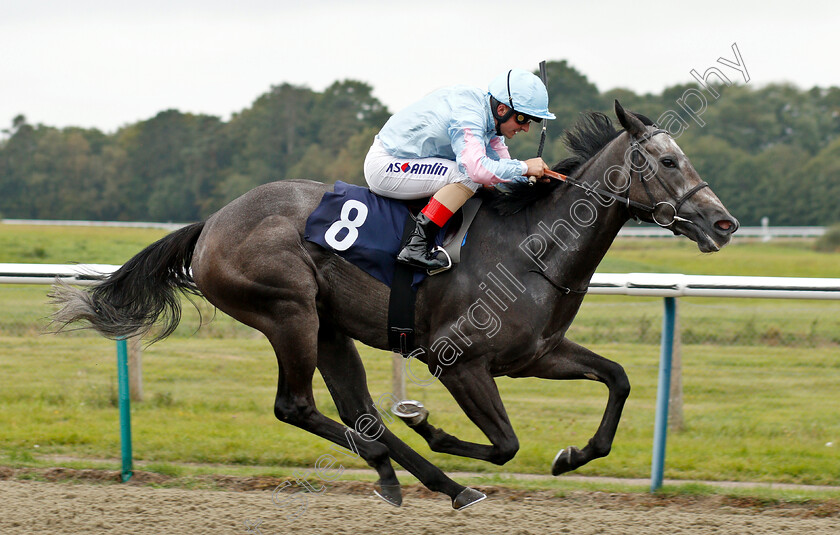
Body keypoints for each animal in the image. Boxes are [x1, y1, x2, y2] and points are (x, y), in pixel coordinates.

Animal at [50, 101, 736, 510]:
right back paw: (418, 472)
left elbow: (617, 378)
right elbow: (504, 443)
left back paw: (415, 479)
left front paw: (573, 456)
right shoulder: (458, 360)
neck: (531, 244)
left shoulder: (535, 355)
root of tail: (212, 224)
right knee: (297, 406)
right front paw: (431, 425)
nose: (723, 223)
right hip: (289, 312)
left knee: (360, 413)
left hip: (328, 326)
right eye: (668, 161)